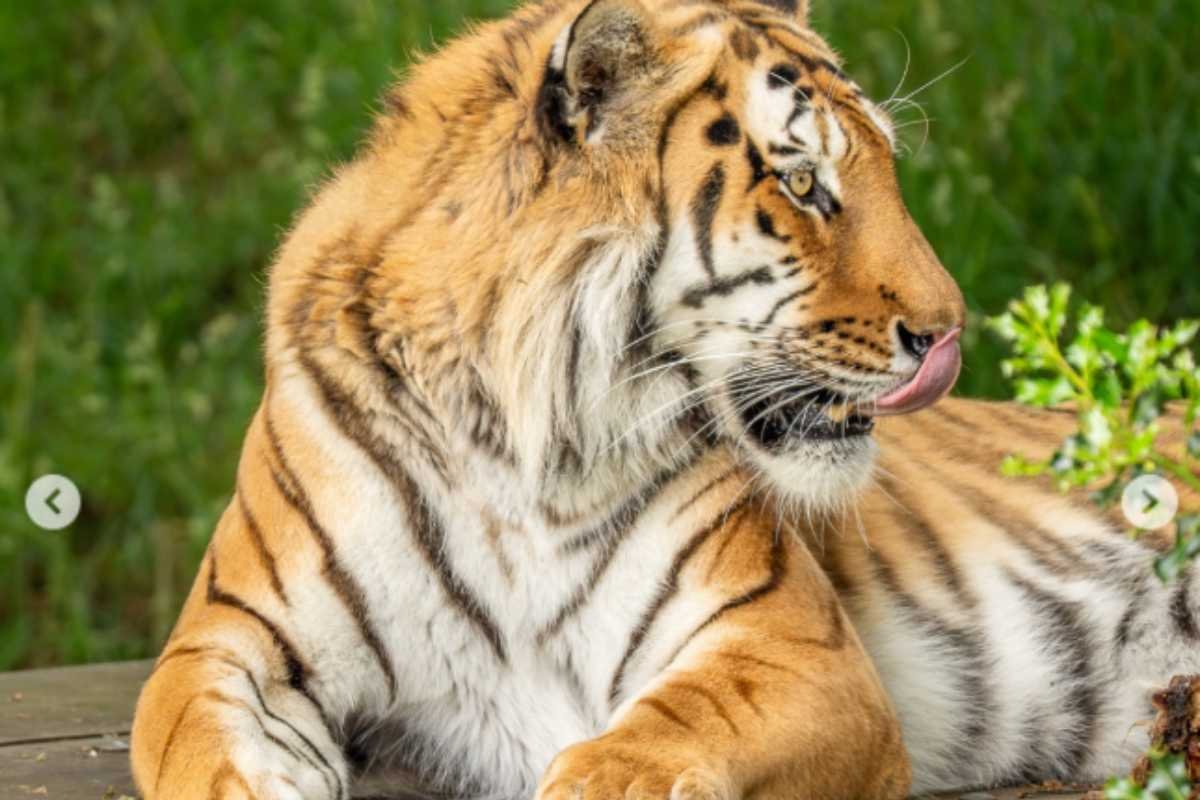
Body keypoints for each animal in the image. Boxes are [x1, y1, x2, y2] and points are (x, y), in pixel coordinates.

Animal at [130, 0, 1200, 798]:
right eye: (803, 185)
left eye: (884, 167)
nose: (950, 332)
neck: (510, 443)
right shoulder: (229, 637)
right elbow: (193, 744)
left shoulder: (791, 646)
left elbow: (652, 743)